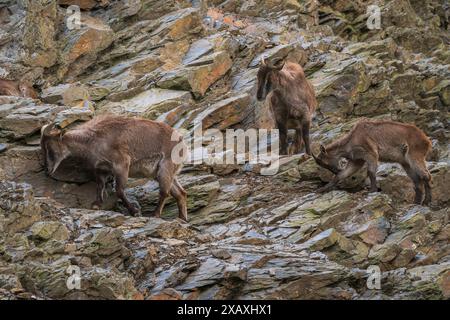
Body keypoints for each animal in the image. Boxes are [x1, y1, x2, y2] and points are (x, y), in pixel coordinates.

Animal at [41, 116, 189, 221]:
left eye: (49, 148)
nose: (47, 170)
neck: (93, 140)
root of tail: (182, 142)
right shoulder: (101, 169)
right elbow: (100, 186)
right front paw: (96, 205)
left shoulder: (122, 165)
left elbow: (119, 190)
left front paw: (134, 212)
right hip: (162, 173)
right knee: (180, 193)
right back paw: (182, 219)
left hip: (165, 168)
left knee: (165, 192)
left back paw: (155, 214)